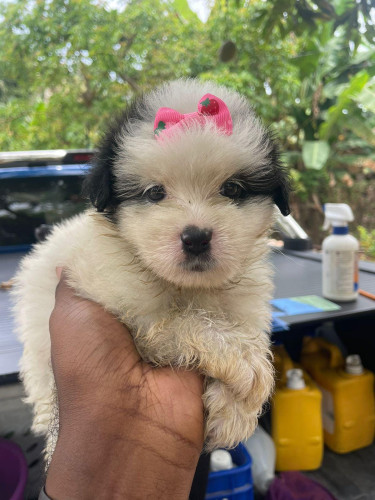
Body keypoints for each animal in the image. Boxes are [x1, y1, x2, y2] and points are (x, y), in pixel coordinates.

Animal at [13, 80, 290, 458]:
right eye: (155, 193)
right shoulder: (128, 306)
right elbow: (183, 321)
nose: (196, 238)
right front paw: (242, 360)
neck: (190, 287)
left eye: (232, 188)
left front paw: (232, 412)